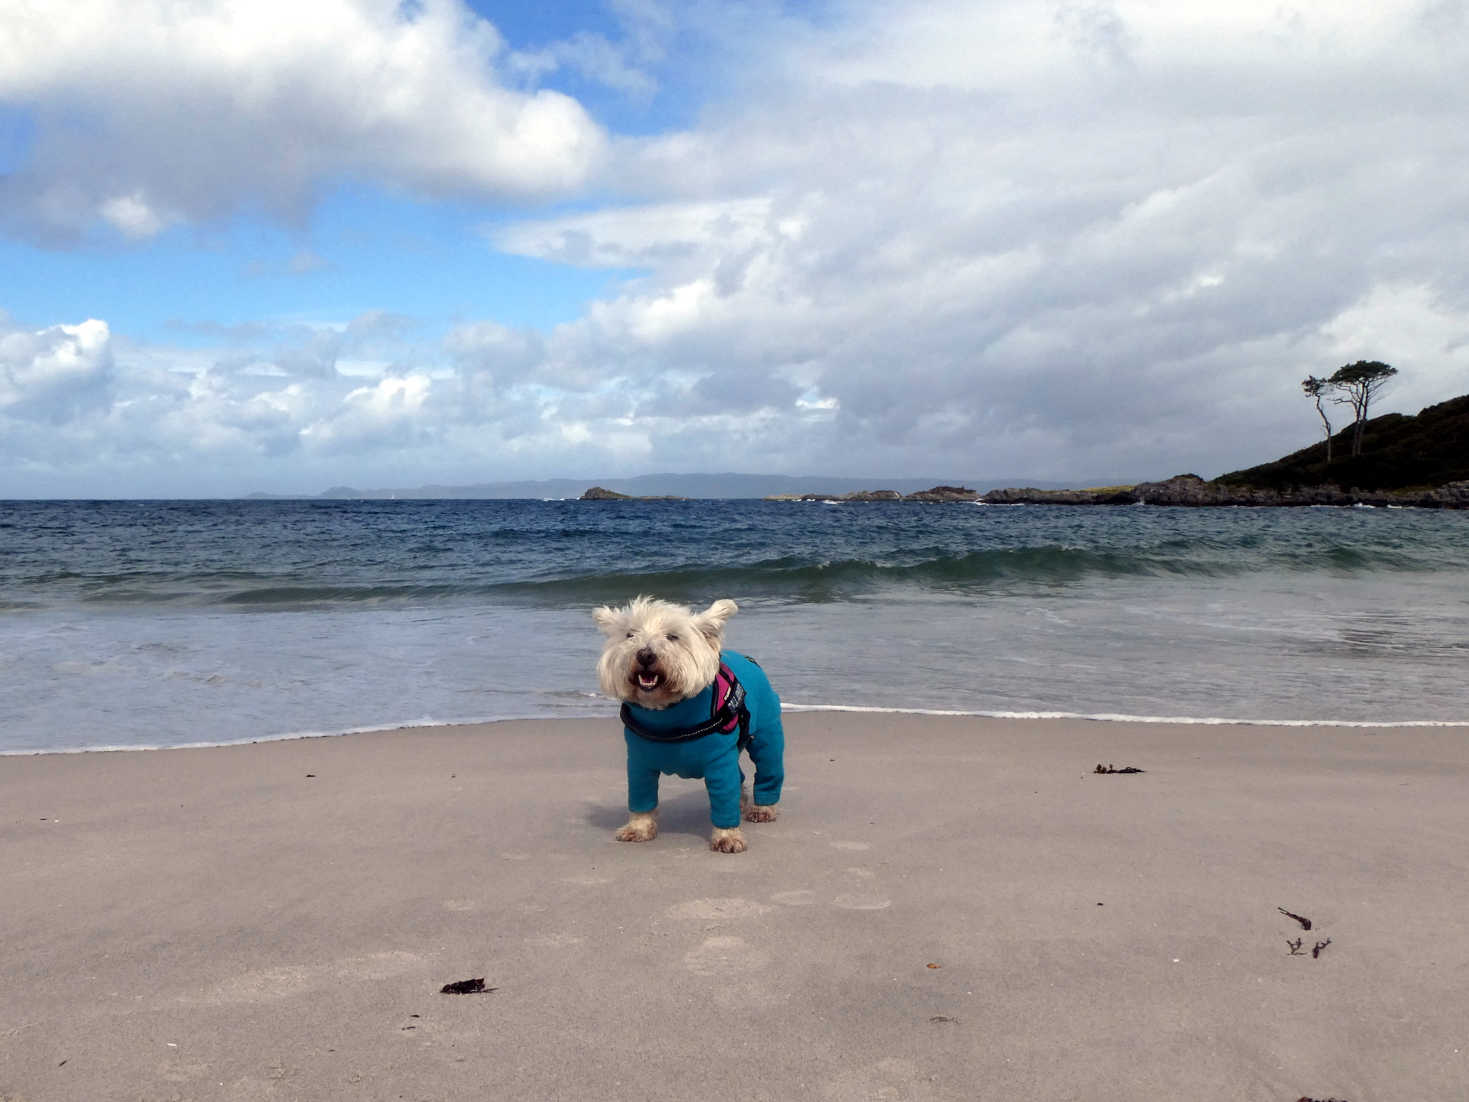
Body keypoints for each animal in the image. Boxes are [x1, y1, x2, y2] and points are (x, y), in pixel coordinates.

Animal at [593, 596, 787, 852]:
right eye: (630, 634)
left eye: (672, 636)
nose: (645, 655)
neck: (667, 716)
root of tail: (748, 660)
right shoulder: (639, 763)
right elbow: (640, 796)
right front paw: (638, 828)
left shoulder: (719, 760)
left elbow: (724, 796)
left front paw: (727, 836)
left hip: (767, 735)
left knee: (768, 768)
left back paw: (763, 808)